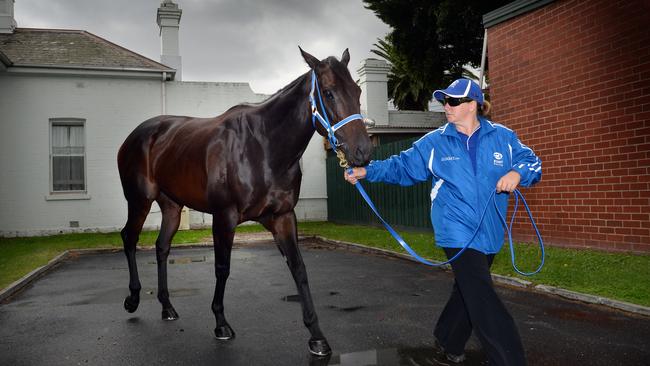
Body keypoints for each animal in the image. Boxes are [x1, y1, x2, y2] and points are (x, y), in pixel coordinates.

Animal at [116, 47, 370, 356]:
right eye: (329, 92)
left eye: (358, 91)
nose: (363, 152)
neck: (262, 147)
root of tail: (135, 136)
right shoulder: (224, 217)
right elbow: (222, 268)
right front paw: (221, 323)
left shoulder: (283, 217)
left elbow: (298, 268)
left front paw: (317, 336)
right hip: (139, 200)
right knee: (129, 238)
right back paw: (133, 299)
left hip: (172, 208)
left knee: (162, 247)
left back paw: (167, 306)